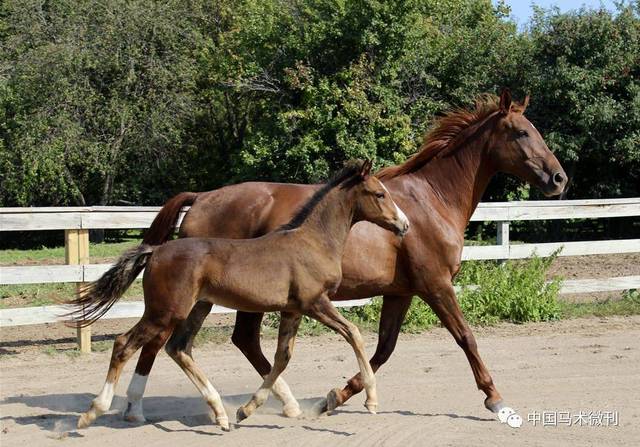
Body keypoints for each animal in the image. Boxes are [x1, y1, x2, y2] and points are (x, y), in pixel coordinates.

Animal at [71, 160, 410, 430]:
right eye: (380, 194)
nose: (404, 224)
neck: (312, 242)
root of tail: (155, 251)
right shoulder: (315, 303)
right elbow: (354, 334)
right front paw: (371, 400)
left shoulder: (293, 310)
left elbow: (282, 358)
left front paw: (247, 410)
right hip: (165, 311)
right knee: (124, 344)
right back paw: (94, 412)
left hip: (196, 307)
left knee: (178, 348)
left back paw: (220, 413)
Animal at [122, 88, 568, 420]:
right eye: (522, 132)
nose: (559, 178)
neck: (431, 202)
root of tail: (201, 198)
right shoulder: (436, 285)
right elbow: (466, 338)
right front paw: (497, 401)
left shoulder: (400, 292)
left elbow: (383, 349)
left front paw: (335, 397)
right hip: (206, 297)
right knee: (165, 340)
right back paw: (136, 408)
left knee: (231, 341)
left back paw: (280, 404)